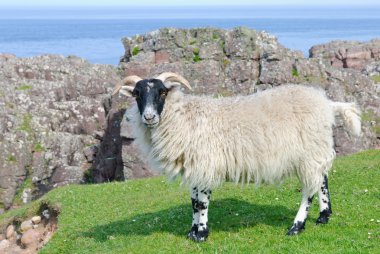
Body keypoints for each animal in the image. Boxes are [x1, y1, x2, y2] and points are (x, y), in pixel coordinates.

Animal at [111, 73, 360, 242]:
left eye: (162, 92)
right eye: (137, 94)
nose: (149, 117)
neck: (183, 117)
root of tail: (327, 103)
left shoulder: (206, 163)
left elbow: (201, 202)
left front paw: (201, 233)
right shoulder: (194, 166)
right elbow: (193, 201)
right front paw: (192, 231)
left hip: (309, 150)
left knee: (309, 189)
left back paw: (297, 226)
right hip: (315, 148)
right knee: (322, 180)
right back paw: (324, 216)